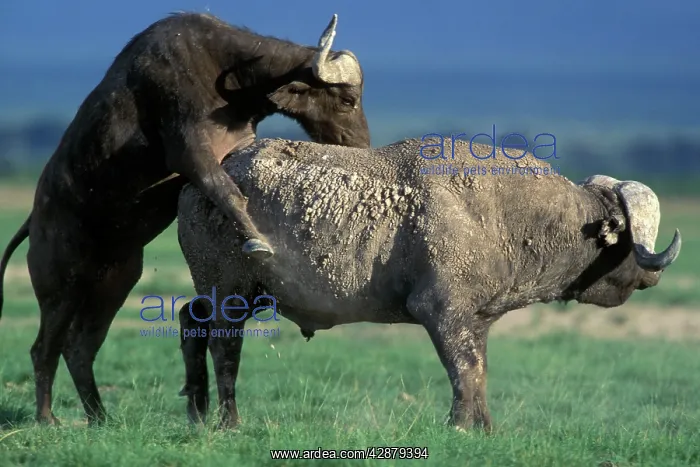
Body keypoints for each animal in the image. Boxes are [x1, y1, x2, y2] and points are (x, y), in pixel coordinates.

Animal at [0, 12, 370, 426]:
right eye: (348, 99)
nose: (362, 145)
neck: (227, 76)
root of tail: (33, 220)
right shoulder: (190, 152)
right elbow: (226, 190)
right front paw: (256, 240)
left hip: (115, 282)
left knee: (79, 347)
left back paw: (100, 416)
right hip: (59, 285)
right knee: (43, 347)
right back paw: (47, 417)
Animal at [175, 137, 681, 431]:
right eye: (631, 238)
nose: (652, 273)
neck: (509, 215)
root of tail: (206, 179)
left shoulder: (477, 321)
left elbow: (478, 372)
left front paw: (482, 428)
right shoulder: (441, 312)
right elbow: (464, 372)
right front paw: (458, 426)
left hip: (224, 295)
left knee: (189, 321)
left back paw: (196, 411)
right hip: (229, 294)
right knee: (224, 348)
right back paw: (228, 421)